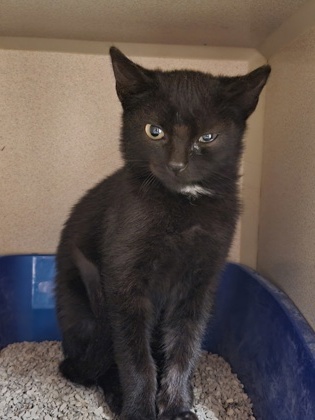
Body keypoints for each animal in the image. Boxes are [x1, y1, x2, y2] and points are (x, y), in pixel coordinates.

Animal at [55, 46, 272, 420]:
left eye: (207, 137)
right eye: (154, 131)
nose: (177, 164)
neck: (183, 206)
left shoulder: (198, 285)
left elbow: (184, 347)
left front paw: (177, 406)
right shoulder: (124, 283)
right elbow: (134, 357)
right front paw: (140, 410)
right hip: (81, 308)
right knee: (99, 361)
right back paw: (115, 394)